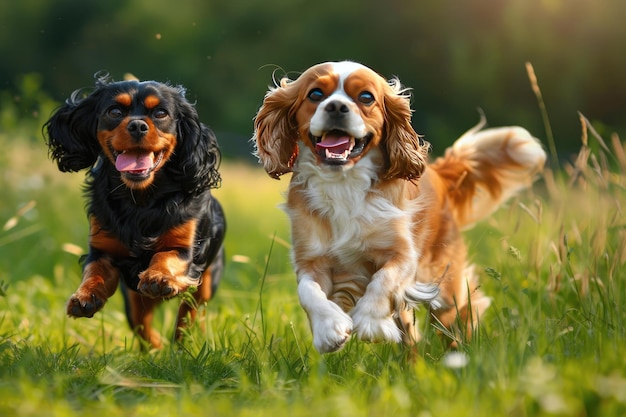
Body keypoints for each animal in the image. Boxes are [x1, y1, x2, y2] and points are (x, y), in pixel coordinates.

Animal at [251, 61, 544, 352]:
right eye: (315, 94)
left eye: (366, 97)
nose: (335, 107)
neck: (344, 183)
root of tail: (439, 174)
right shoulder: (311, 259)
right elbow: (308, 292)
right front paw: (329, 329)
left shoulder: (403, 254)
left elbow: (384, 280)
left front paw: (370, 322)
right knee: (411, 335)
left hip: (444, 284)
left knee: (458, 315)